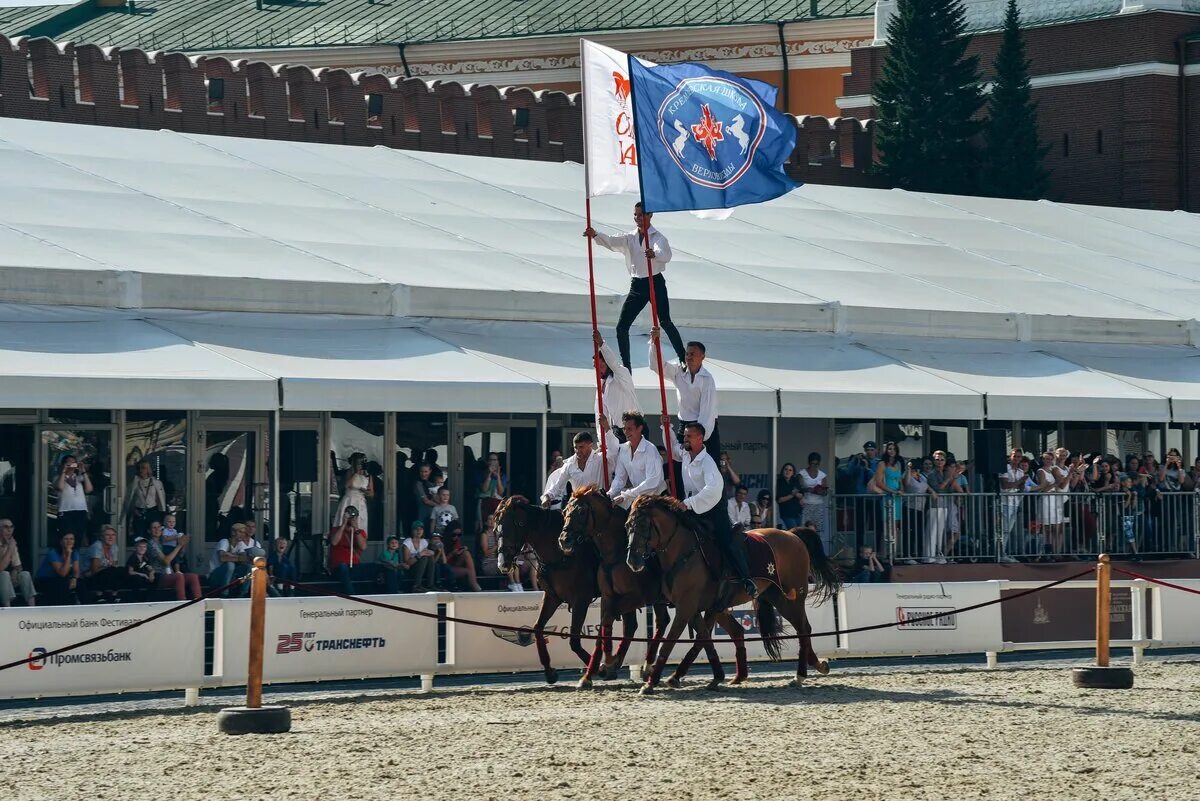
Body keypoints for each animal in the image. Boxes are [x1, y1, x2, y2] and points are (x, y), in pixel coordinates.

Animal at [494, 494, 604, 681]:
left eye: (517, 524)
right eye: (496, 528)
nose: (503, 564)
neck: (561, 555)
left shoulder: (581, 600)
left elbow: (574, 640)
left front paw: (597, 667)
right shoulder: (552, 597)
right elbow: (538, 628)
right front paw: (549, 670)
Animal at [556, 489, 744, 690]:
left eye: (581, 511)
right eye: (565, 511)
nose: (564, 540)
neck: (614, 555)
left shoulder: (638, 596)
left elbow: (618, 622)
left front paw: (608, 662)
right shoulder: (608, 596)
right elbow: (606, 627)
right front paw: (592, 673)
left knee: (671, 624)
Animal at [628, 494, 844, 695]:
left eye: (643, 525)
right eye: (628, 525)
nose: (633, 561)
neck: (684, 552)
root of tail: (792, 535)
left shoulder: (686, 607)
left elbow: (670, 643)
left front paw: (652, 683)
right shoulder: (697, 609)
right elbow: (704, 639)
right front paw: (705, 676)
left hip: (793, 599)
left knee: (803, 629)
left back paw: (800, 675)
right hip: (775, 597)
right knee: (783, 629)